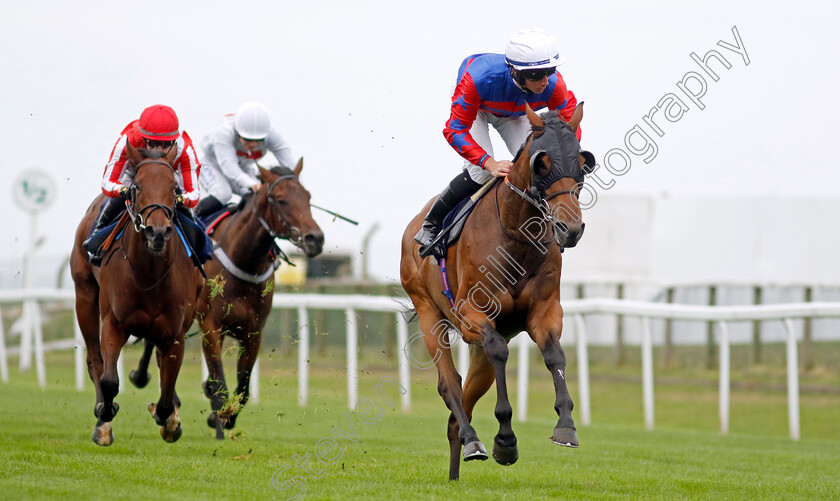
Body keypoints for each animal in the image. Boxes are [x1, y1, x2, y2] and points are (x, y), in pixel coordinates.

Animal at [70, 142, 203, 446]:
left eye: (174, 187)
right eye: (138, 186)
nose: (157, 232)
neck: (149, 275)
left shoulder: (175, 334)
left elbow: (166, 390)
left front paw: (168, 420)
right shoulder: (114, 323)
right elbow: (109, 380)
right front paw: (105, 413)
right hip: (84, 294)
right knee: (95, 359)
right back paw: (102, 423)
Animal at [130, 159, 324, 438]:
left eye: (307, 196)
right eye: (280, 199)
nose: (314, 238)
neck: (243, 259)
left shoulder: (253, 332)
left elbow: (243, 386)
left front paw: (226, 416)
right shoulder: (211, 326)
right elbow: (218, 380)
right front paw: (217, 415)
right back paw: (147, 384)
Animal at [398, 102, 592, 480]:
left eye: (581, 160)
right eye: (542, 162)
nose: (570, 228)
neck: (517, 235)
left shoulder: (545, 312)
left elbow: (555, 357)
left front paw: (566, 426)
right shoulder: (470, 314)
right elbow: (500, 352)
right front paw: (505, 440)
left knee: (464, 400)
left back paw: (456, 466)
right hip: (428, 311)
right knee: (450, 383)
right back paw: (473, 441)